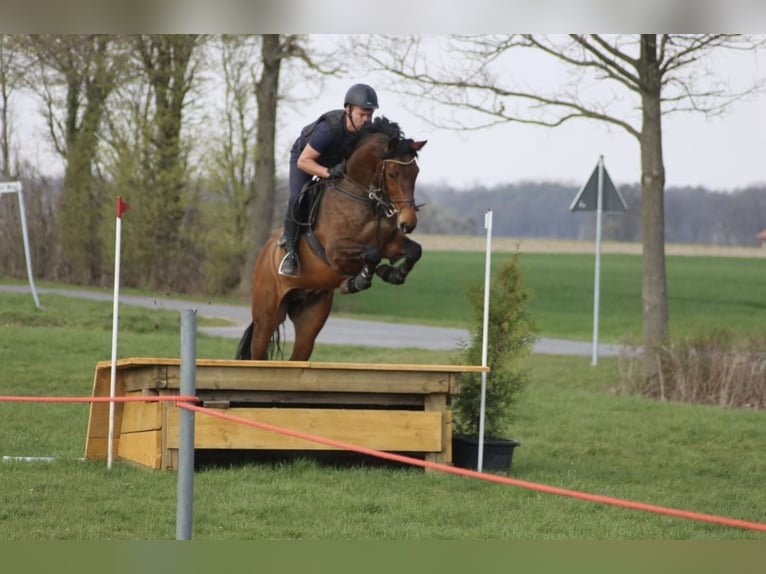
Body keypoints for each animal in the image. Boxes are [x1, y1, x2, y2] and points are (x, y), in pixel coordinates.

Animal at [236, 116, 426, 360]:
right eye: (393, 174)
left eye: (416, 173)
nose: (408, 223)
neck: (364, 197)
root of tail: (264, 255)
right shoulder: (336, 252)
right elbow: (371, 254)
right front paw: (359, 280)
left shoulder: (390, 245)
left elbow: (413, 250)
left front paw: (393, 273)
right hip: (267, 315)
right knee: (258, 350)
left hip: (310, 314)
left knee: (300, 352)